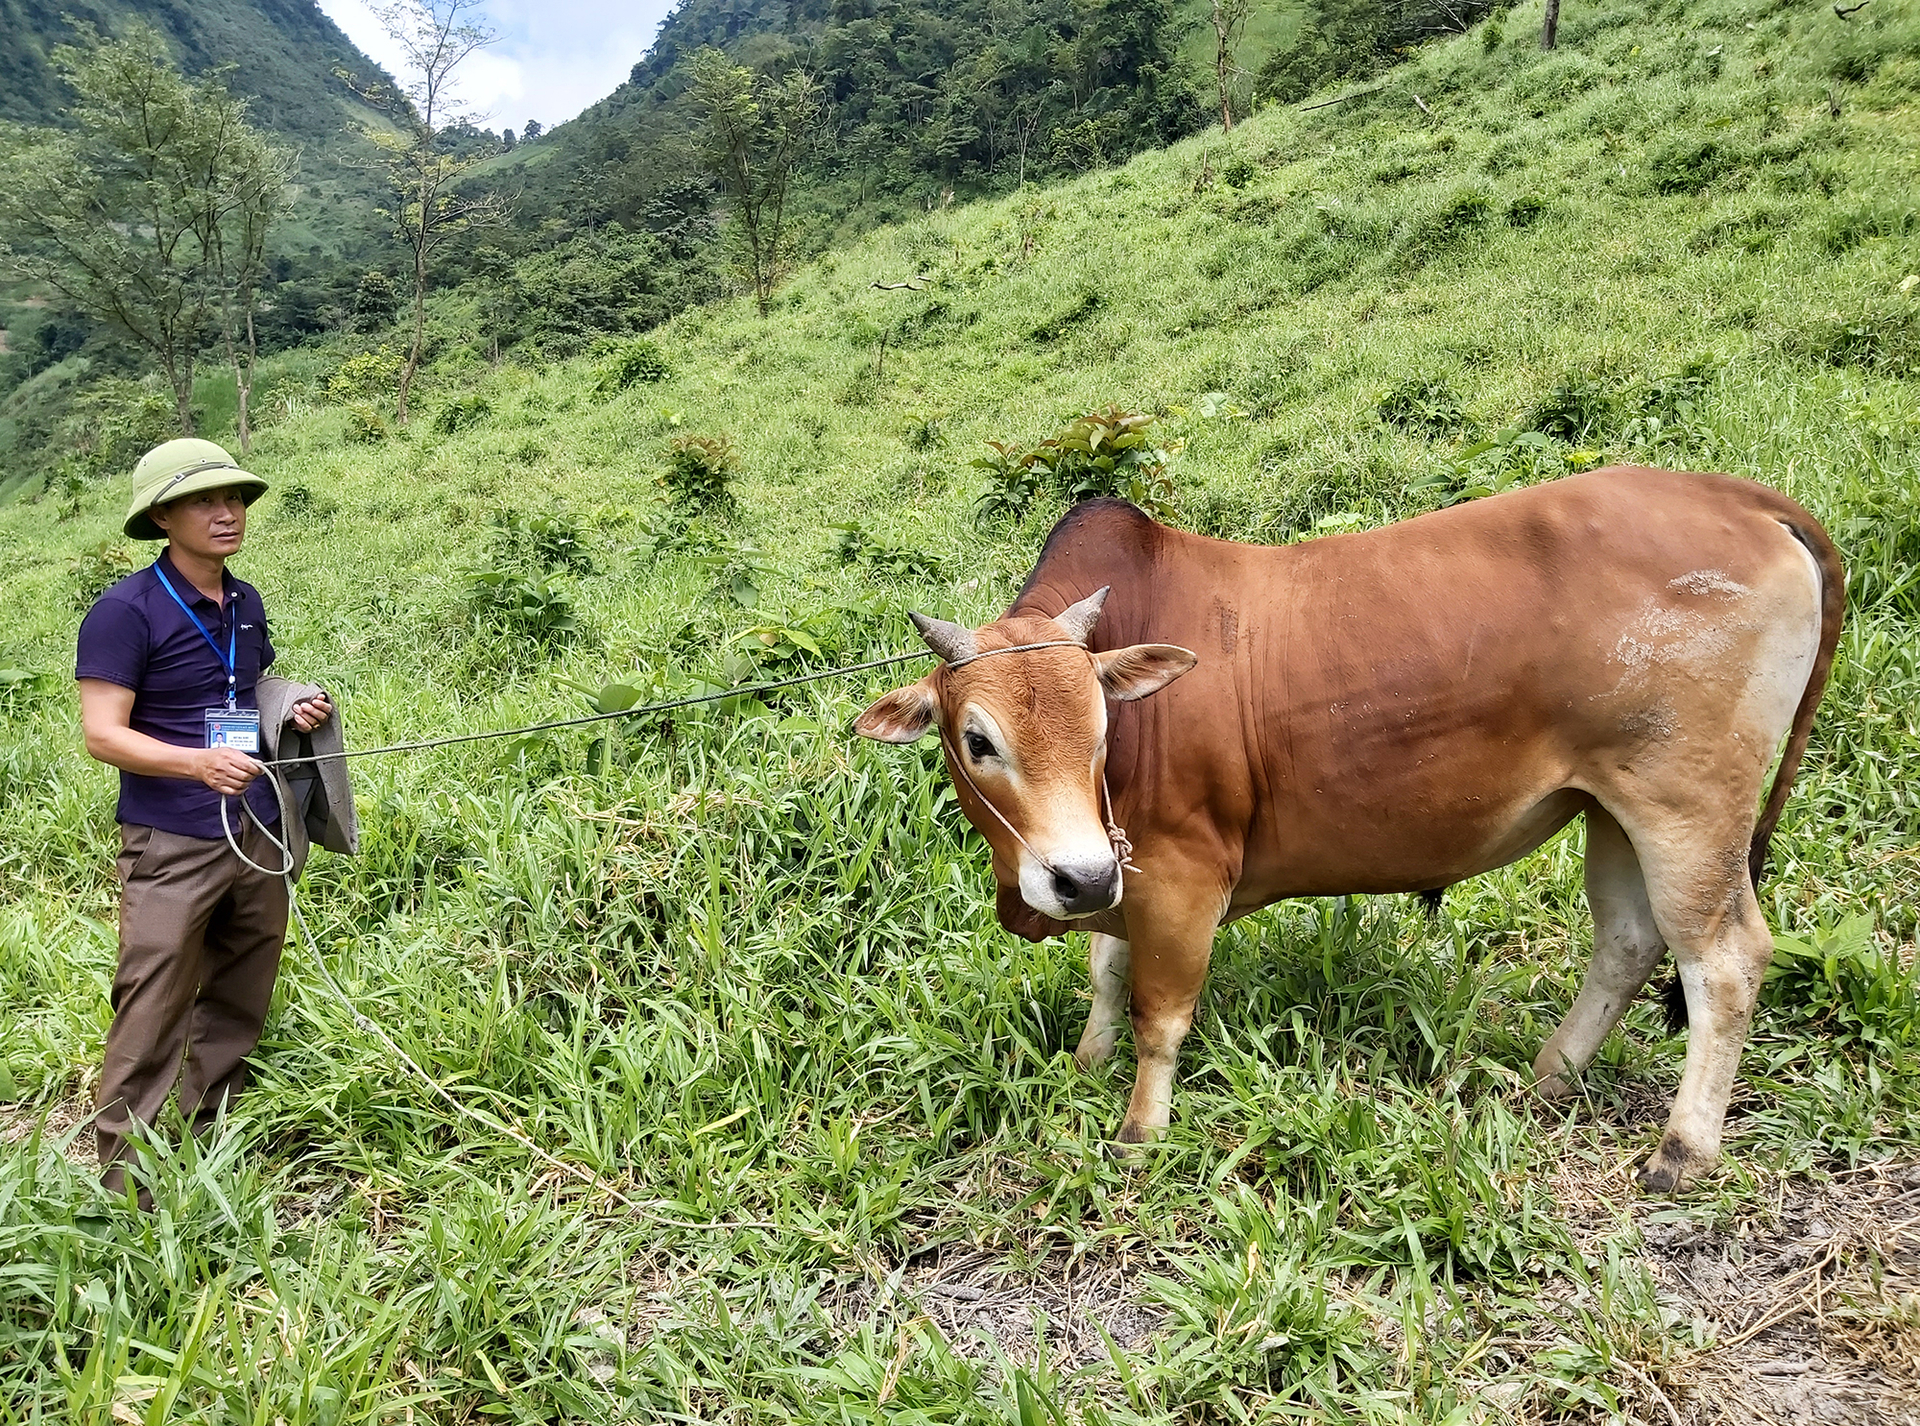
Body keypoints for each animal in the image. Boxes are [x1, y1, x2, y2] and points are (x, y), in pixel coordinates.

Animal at [860, 468, 1843, 1189]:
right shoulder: (1121, 864)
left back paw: (1682, 1148)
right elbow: (1107, 970)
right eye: (977, 739)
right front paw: (1087, 1058)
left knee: (1724, 959)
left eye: (1104, 727)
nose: (1077, 881)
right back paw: (1549, 1075)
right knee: (1631, 940)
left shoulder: (1178, 874)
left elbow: (1157, 1013)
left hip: (1689, 808)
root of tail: (1745, 498)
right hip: (1614, 805)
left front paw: (1141, 1130)